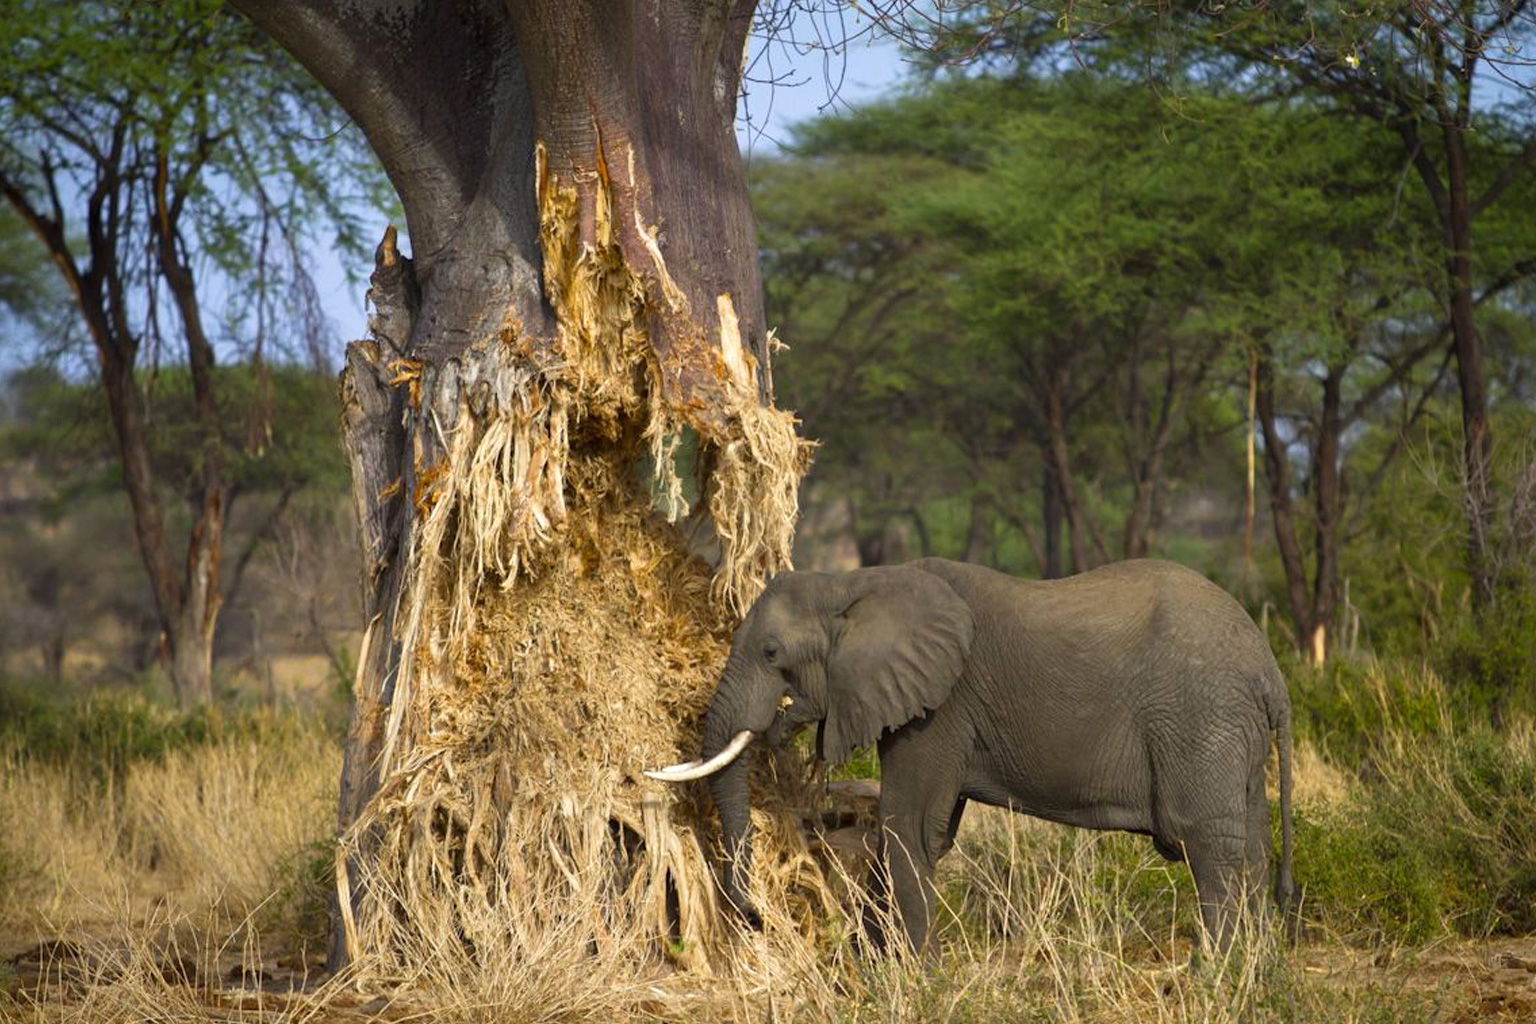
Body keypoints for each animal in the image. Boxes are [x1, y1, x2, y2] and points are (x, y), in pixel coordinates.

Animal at [642, 561, 1290, 951]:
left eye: (772, 652)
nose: (754, 917)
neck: (853, 584)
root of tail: (1270, 670)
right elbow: (914, 833)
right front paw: (871, 965)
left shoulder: (939, 708)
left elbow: (910, 826)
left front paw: (916, 977)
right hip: (1233, 735)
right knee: (1252, 841)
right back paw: (1259, 974)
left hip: (1200, 719)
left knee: (1207, 843)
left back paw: (1217, 975)